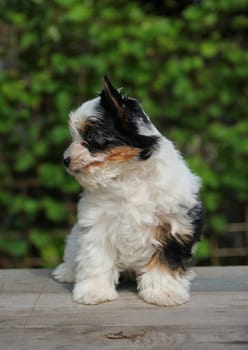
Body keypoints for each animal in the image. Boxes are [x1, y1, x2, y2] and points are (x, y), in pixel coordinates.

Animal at [52, 76, 203, 306]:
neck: (129, 175)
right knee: (72, 255)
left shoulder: (176, 224)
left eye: (90, 137)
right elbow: (96, 259)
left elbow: (166, 262)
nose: (66, 160)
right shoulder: (98, 224)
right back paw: (66, 271)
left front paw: (163, 292)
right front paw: (94, 292)